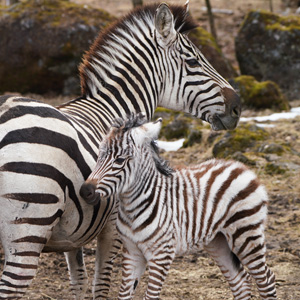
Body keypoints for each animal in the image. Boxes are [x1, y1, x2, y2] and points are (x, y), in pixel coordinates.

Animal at [0, 2, 240, 300]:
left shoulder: (73, 236)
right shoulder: (114, 226)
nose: (237, 106)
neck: (115, 109)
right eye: (194, 62)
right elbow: (102, 286)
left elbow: (79, 283)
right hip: (28, 230)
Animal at [81, 114, 276, 300]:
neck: (132, 208)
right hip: (218, 240)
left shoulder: (162, 254)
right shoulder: (131, 252)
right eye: (99, 156)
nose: (85, 191)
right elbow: (123, 295)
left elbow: (150, 296)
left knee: (267, 279)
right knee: (240, 281)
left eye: (120, 160)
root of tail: (241, 167)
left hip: (246, 234)